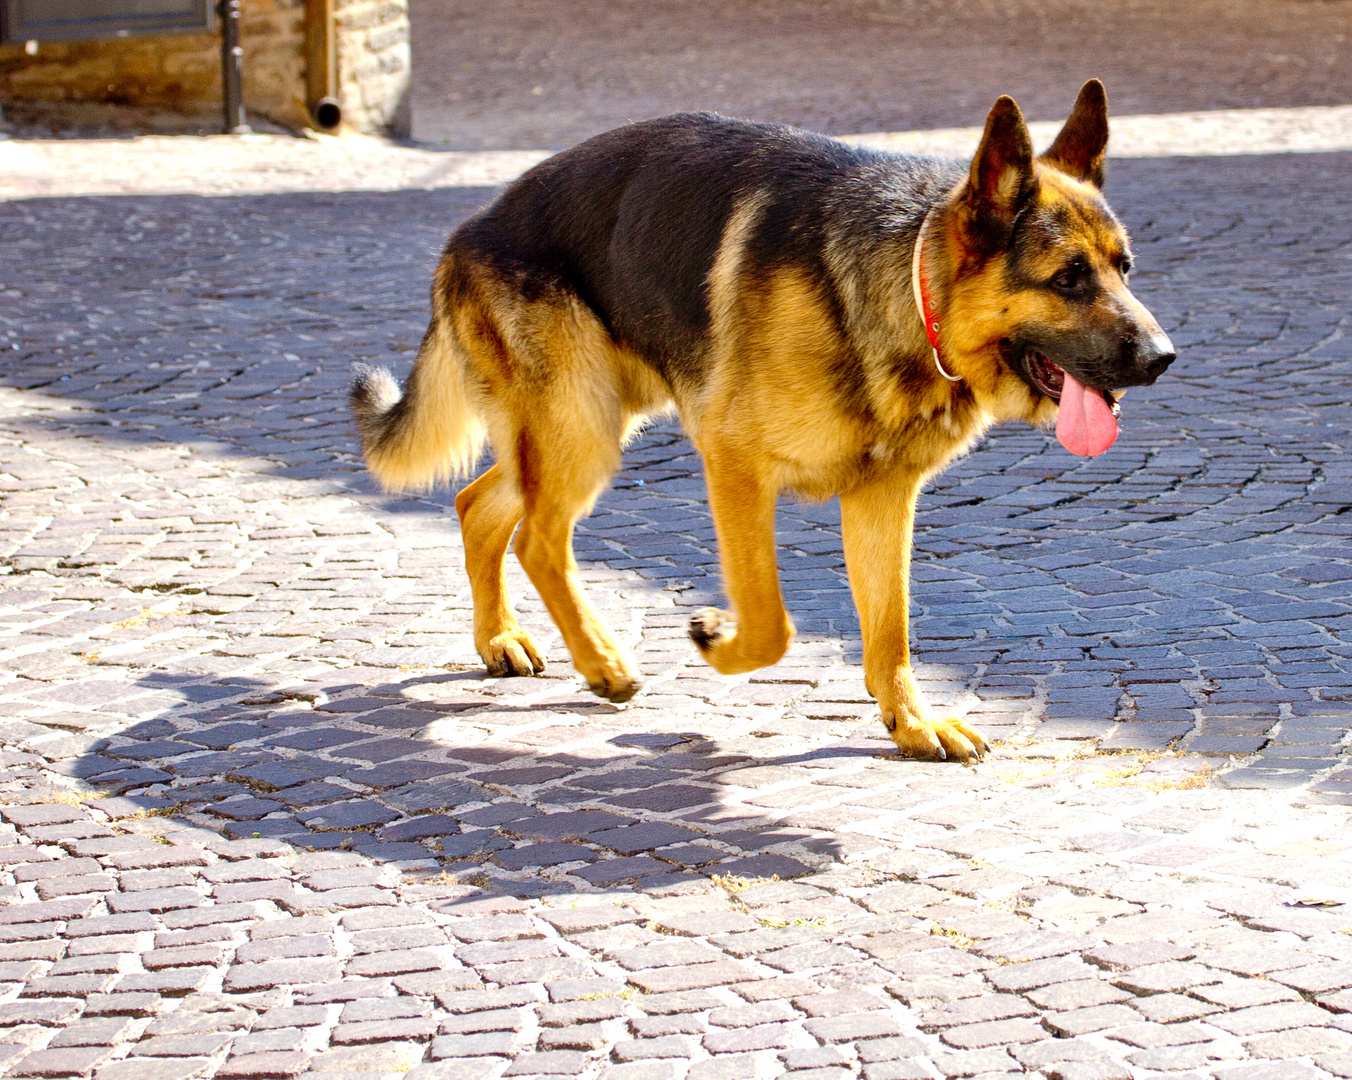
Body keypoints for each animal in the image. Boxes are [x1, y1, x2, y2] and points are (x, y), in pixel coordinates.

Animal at [348, 80, 1173, 762]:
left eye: (1125, 269)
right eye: (1068, 278)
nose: (1164, 357)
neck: (908, 291)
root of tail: (467, 231)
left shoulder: (881, 500)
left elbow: (891, 631)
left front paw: (909, 722)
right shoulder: (734, 465)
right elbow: (773, 623)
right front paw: (717, 644)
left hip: (577, 427)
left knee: (478, 505)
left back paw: (500, 640)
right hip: (581, 430)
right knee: (537, 539)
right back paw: (604, 664)